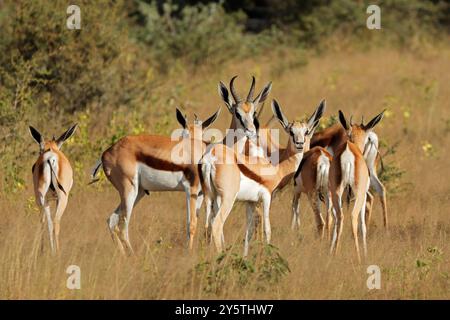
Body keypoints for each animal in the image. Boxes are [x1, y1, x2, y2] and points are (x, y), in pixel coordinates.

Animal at [29, 124, 78, 254]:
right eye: (39, 150)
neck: (51, 148)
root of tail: (50, 158)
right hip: (61, 198)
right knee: (55, 222)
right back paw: (56, 253)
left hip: (42, 198)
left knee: (48, 223)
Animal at [90, 109, 221, 254]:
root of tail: (106, 153)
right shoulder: (190, 190)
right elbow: (191, 224)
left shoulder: (200, 194)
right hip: (129, 191)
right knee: (122, 226)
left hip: (139, 192)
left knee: (112, 220)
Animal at [200, 99, 324, 256]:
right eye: (291, 132)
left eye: (306, 132)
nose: (300, 144)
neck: (276, 169)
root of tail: (210, 159)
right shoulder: (266, 197)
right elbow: (267, 230)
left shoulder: (250, 202)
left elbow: (249, 232)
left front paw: (245, 257)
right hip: (227, 198)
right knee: (216, 225)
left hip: (211, 197)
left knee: (207, 226)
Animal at [328, 109, 384, 260]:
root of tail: (348, 153)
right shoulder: (363, 196)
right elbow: (363, 226)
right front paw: (366, 253)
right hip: (358, 195)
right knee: (353, 217)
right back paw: (359, 256)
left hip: (336, 192)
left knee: (340, 217)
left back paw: (335, 254)